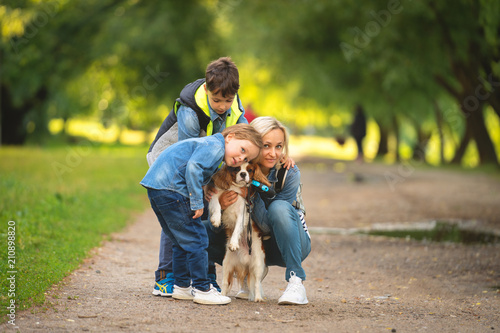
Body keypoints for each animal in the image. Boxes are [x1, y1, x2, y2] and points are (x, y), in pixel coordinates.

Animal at [209, 161, 272, 300]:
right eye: (237, 169)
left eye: (250, 170)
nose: (243, 174)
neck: (236, 188)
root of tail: (244, 262)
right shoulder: (217, 195)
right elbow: (217, 204)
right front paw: (216, 219)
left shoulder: (242, 214)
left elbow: (237, 228)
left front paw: (233, 243)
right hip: (227, 263)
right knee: (225, 283)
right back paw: (222, 296)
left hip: (258, 264)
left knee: (257, 283)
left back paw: (258, 298)